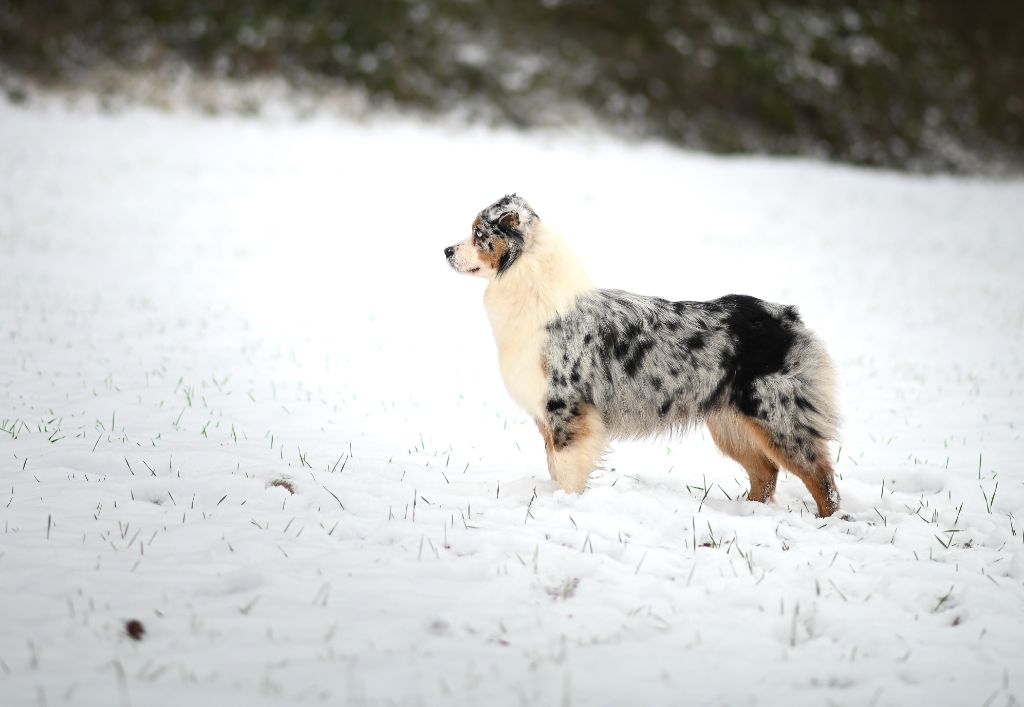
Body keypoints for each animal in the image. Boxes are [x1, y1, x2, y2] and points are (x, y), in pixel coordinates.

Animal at [442, 195, 839, 514]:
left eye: (478, 233)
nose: (445, 251)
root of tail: (787, 315)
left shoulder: (567, 408)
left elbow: (567, 470)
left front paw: (566, 504)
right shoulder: (547, 413)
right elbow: (554, 465)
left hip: (779, 417)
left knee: (821, 478)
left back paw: (826, 522)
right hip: (730, 423)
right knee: (766, 473)